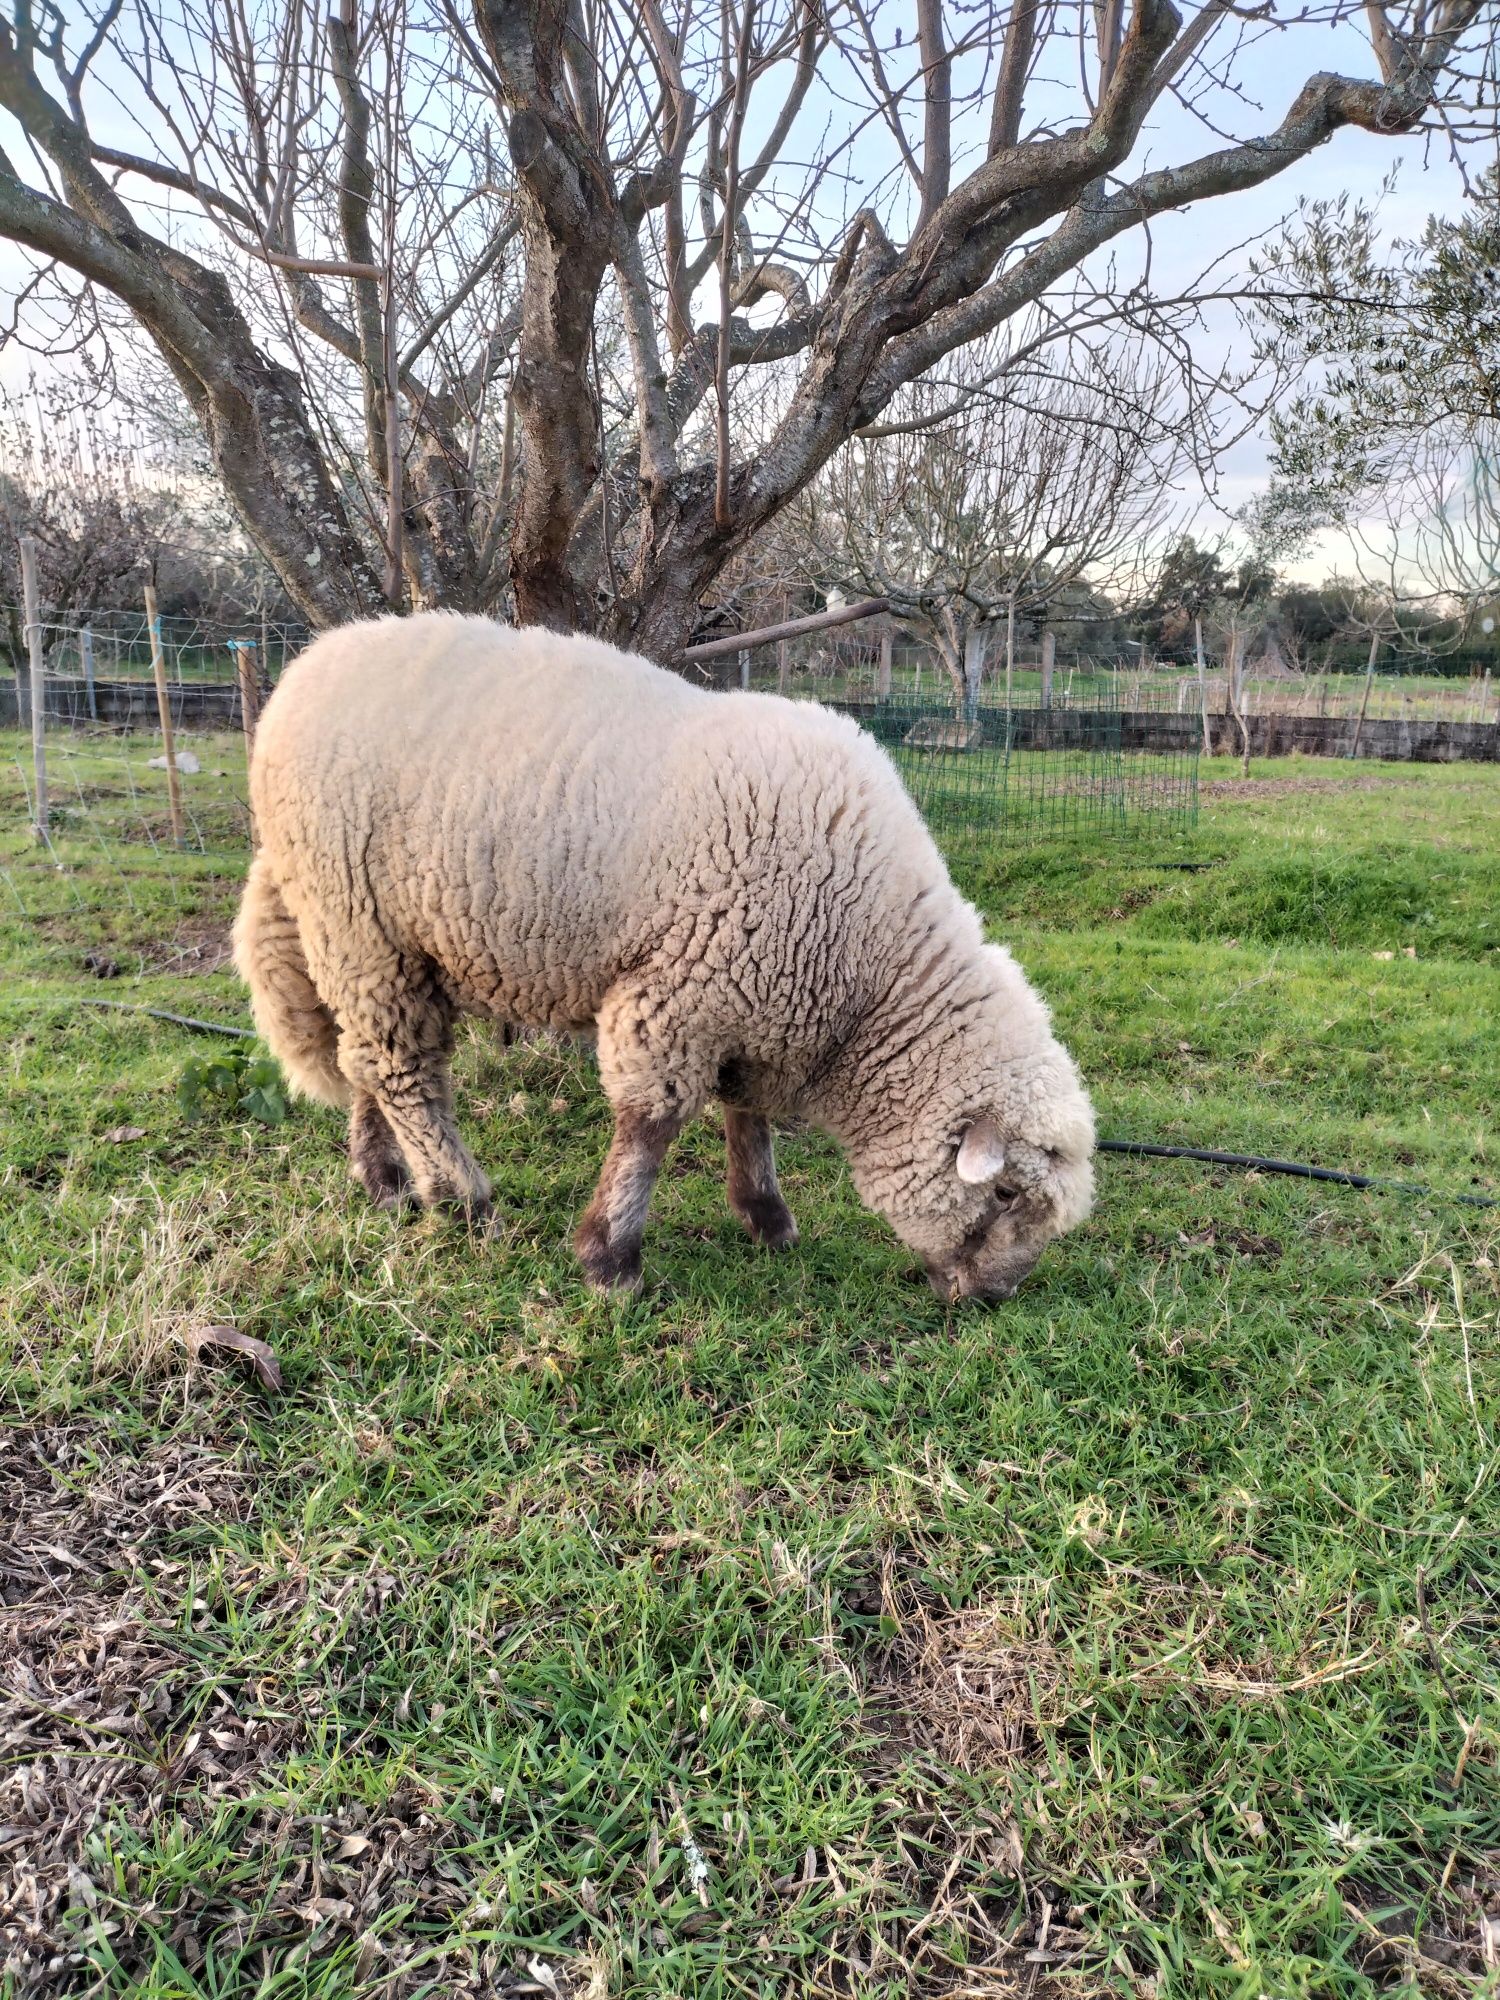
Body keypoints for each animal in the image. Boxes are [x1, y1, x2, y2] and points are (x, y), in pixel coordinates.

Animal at [238, 608, 1104, 1296]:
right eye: (1004, 1196)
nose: (993, 1297)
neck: (867, 976)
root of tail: (307, 666)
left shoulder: (752, 1001)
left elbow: (747, 1115)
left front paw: (766, 1217)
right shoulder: (677, 990)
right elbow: (649, 1126)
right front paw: (610, 1258)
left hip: (378, 939)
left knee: (363, 1055)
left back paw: (386, 1179)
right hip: (356, 915)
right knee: (400, 1065)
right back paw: (462, 1199)